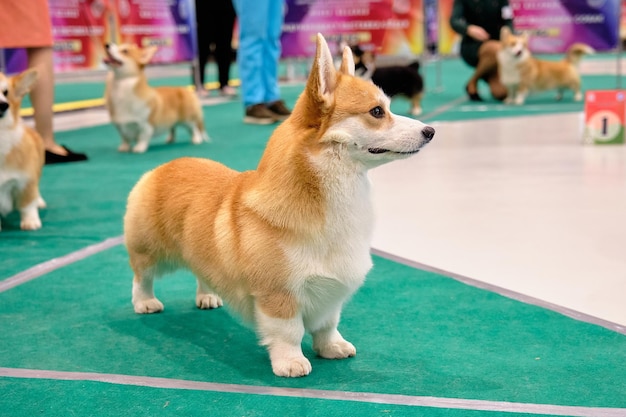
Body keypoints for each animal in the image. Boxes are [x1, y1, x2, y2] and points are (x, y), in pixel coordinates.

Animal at [0, 68, 45, 231]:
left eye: (5, 92)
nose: (3, 105)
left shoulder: (26, 181)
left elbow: (27, 205)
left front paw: (31, 222)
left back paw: (39, 201)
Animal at [123, 34, 434, 376]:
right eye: (377, 112)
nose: (431, 131)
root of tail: (163, 167)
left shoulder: (331, 295)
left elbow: (328, 325)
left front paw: (333, 348)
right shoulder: (278, 294)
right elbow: (289, 332)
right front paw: (291, 363)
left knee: (200, 272)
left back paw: (207, 296)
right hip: (149, 250)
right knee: (141, 277)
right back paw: (145, 303)